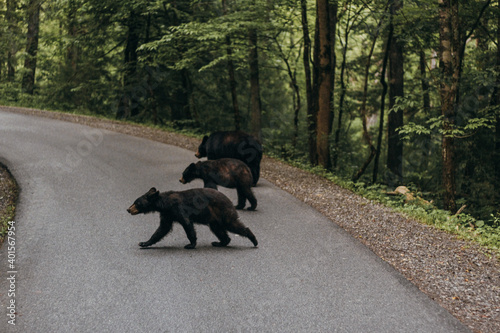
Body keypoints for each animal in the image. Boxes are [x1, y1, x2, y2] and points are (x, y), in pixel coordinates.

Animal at [126, 187, 258, 249]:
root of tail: (229, 200)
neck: (165, 204)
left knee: (232, 224)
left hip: (223, 211)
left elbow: (187, 224)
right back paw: (220, 242)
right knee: (217, 229)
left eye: (137, 203)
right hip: (214, 218)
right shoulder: (167, 214)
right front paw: (144, 242)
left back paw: (254, 239)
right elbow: (162, 229)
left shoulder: (178, 209)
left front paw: (191, 244)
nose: (128, 209)